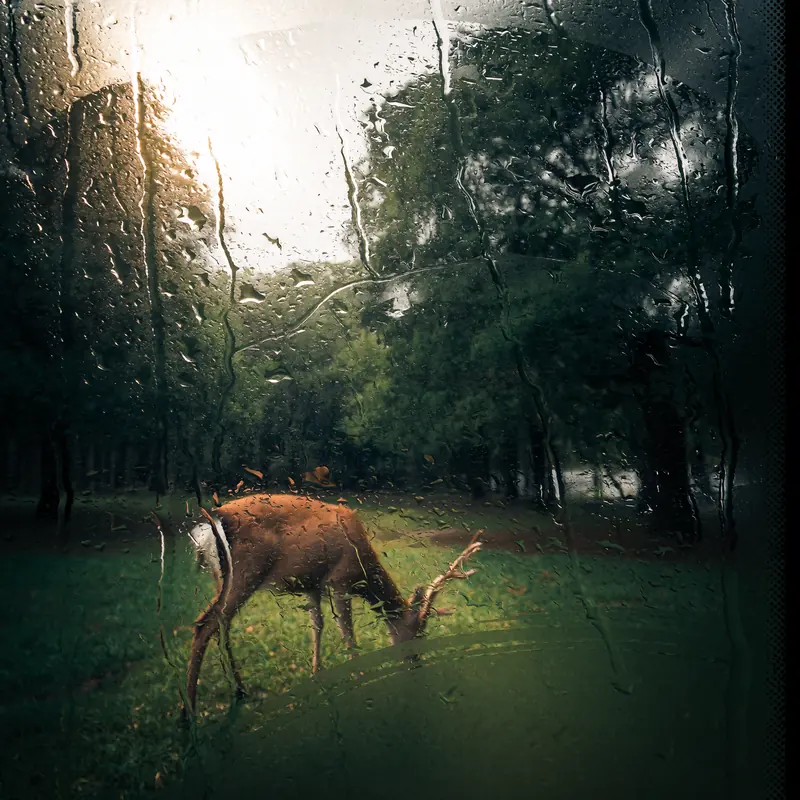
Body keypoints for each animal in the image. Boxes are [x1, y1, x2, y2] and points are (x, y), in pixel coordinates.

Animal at [155, 493, 482, 720]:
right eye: (416, 634)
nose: (415, 666)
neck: (363, 566)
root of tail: (208, 524)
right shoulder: (339, 582)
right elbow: (348, 636)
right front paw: (359, 678)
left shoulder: (313, 585)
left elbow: (318, 626)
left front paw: (316, 675)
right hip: (247, 572)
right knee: (205, 624)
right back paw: (189, 711)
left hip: (221, 578)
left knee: (221, 622)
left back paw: (239, 690)